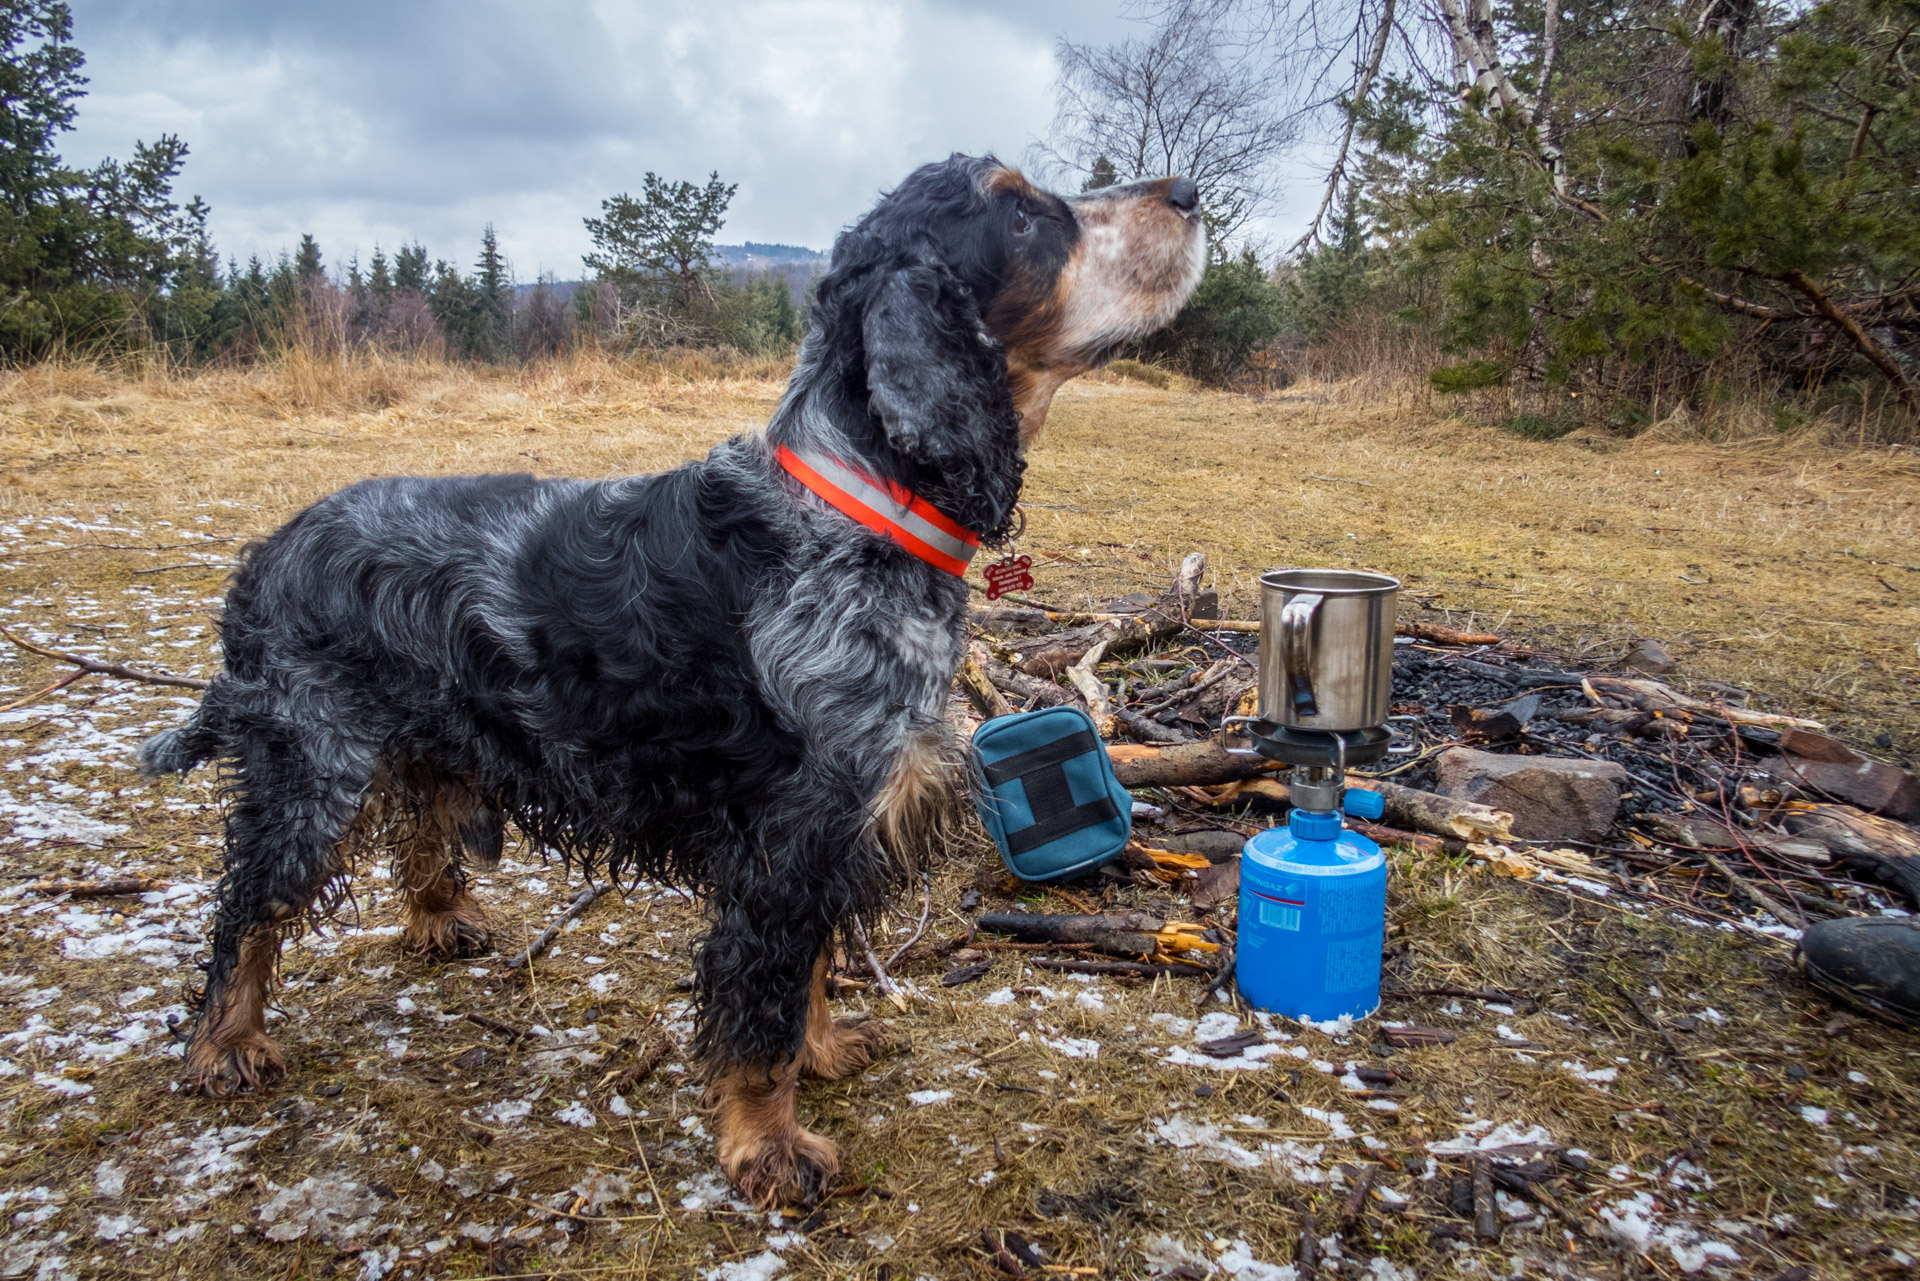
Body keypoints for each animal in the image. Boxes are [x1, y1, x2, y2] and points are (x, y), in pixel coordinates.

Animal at [142, 155, 1205, 1206]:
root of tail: (266, 553)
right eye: (1023, 215)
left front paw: (824, 1050)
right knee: (248, 910)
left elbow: (809, 971)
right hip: (313, 765)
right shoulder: (790, 837)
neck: (856, 503)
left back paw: (441, 922)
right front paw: (768, 1145)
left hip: (435, 738)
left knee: (421, 833)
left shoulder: (832, 830)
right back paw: (226, 1045)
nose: (1189, 194)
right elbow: (764, 1002)